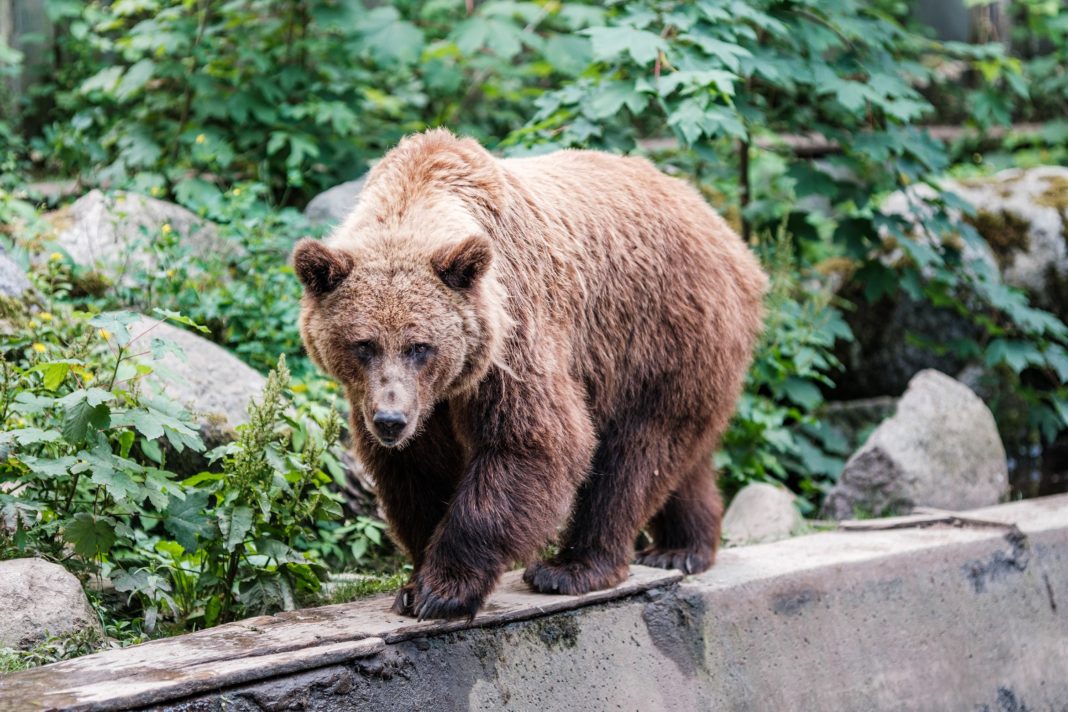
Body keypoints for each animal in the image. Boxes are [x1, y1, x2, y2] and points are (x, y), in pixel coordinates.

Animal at [292, 130, 768, 619]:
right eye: (363, 345)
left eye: (419, 346)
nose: (390, 421)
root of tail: (727, 234)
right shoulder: (417, 399)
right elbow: (416, 470)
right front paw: (413, 583)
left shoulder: (511, 341)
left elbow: (532, 441)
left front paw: (442, 590)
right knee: (679, 458)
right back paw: (682, 548)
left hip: (660, 337)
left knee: (635, 454)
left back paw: (574, 567)